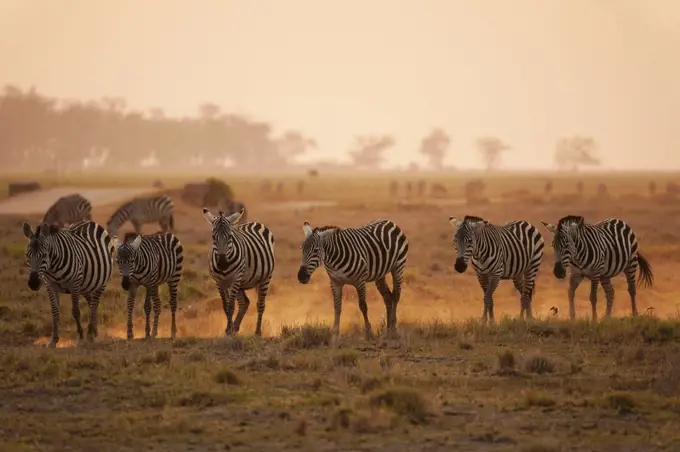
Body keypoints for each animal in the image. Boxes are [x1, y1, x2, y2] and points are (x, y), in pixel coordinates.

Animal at [202, 207, 276, 336]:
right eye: (213, 237)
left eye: (230, 237)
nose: (222, 263)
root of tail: (255, 223)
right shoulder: (219, 282)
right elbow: (225, 306)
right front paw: (229, 329)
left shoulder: (235, 278)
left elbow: (231, 306)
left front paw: (229, 330)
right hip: (241, 284)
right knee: (244, 303)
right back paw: (236, 327)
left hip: (265, 278)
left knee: (260, 305)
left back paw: (257, 331)